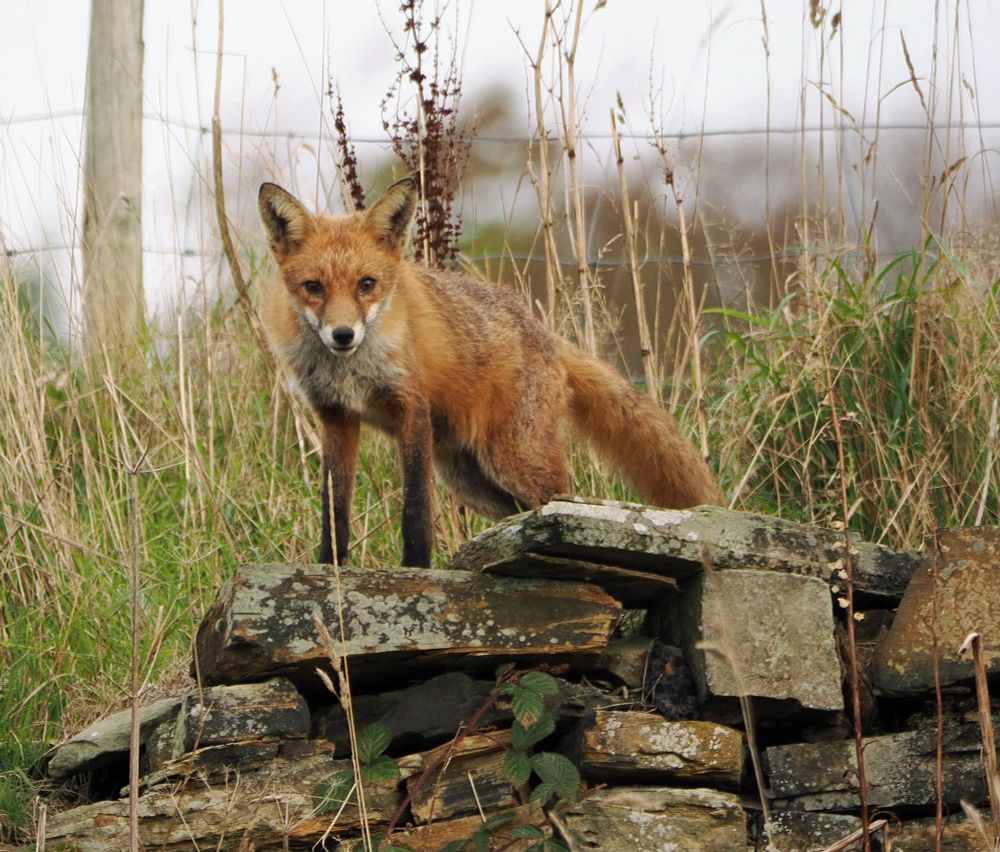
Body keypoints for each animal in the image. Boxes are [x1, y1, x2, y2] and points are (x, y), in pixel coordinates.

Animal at [258, 176, 719, 568]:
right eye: (314, 288)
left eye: (366, 284)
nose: (343, 334)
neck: (350, 369)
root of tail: (547, 335)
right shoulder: (336, 418)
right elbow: (334, 510)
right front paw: (331, 569)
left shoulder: (411, 408)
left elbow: (415, 510)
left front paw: (416, 569)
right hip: (471, 476)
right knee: (519, 513)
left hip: (514, 458)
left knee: (560, 500)